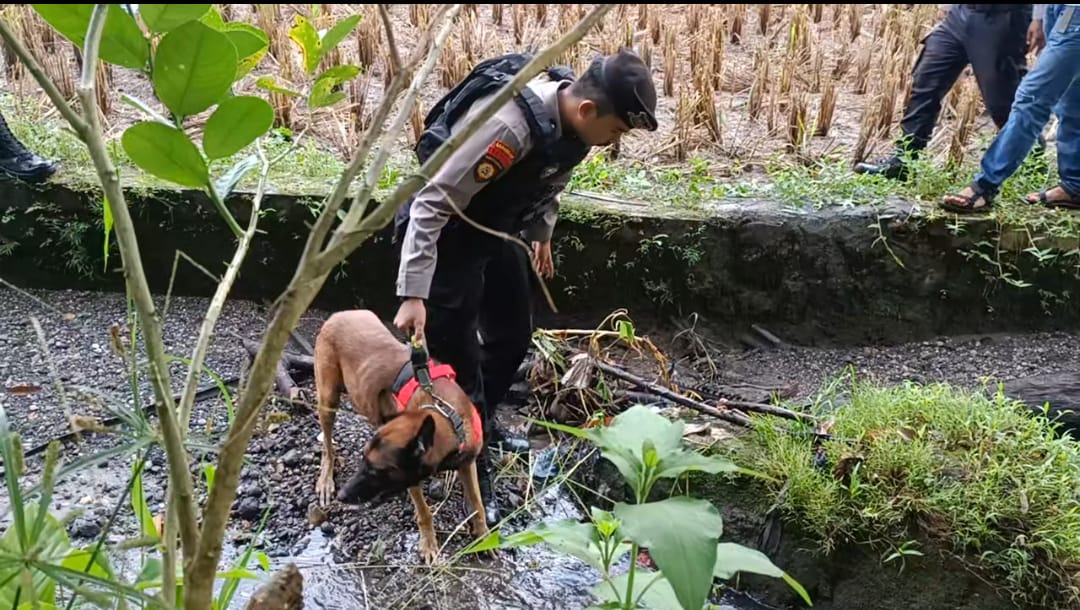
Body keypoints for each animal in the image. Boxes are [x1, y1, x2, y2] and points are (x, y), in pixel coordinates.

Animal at [313, 306, 490, 565]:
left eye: (376, 471)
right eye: (364, 463)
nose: (344, 495)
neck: (444, 415)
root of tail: (339, 314)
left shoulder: (467, 462)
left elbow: (477, 503)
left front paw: (484, 535)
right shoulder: (412, 480)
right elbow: (424, 512)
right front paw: (429, 544)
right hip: (328, 398)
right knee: (327, 445)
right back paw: (326, 478)